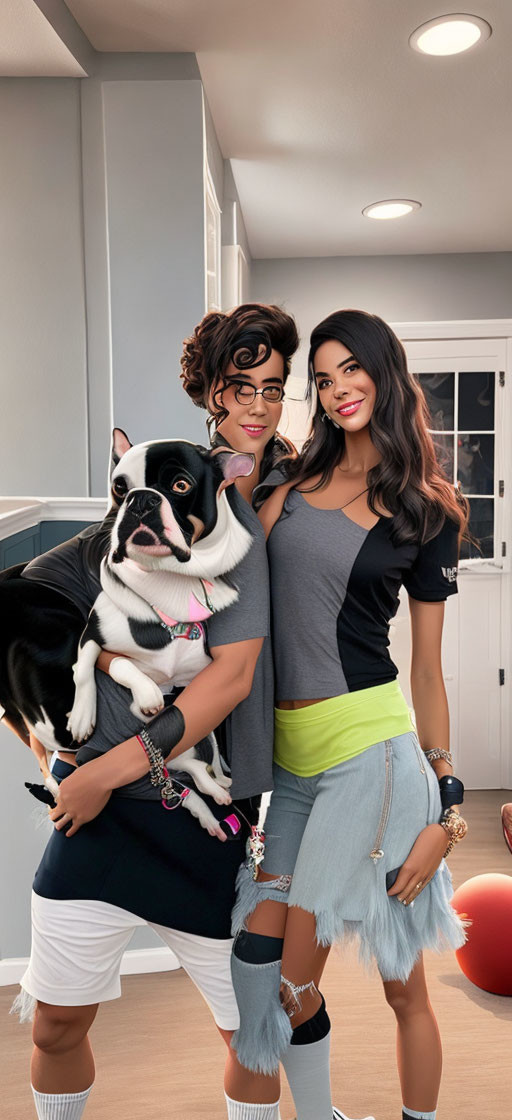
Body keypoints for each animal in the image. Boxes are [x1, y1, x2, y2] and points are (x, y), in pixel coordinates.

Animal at [0, 432, 254, 837]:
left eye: (180, 485)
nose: (140, 498)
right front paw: (89, 714)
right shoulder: (93, 637)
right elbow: (103, 666)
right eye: (119, 487)